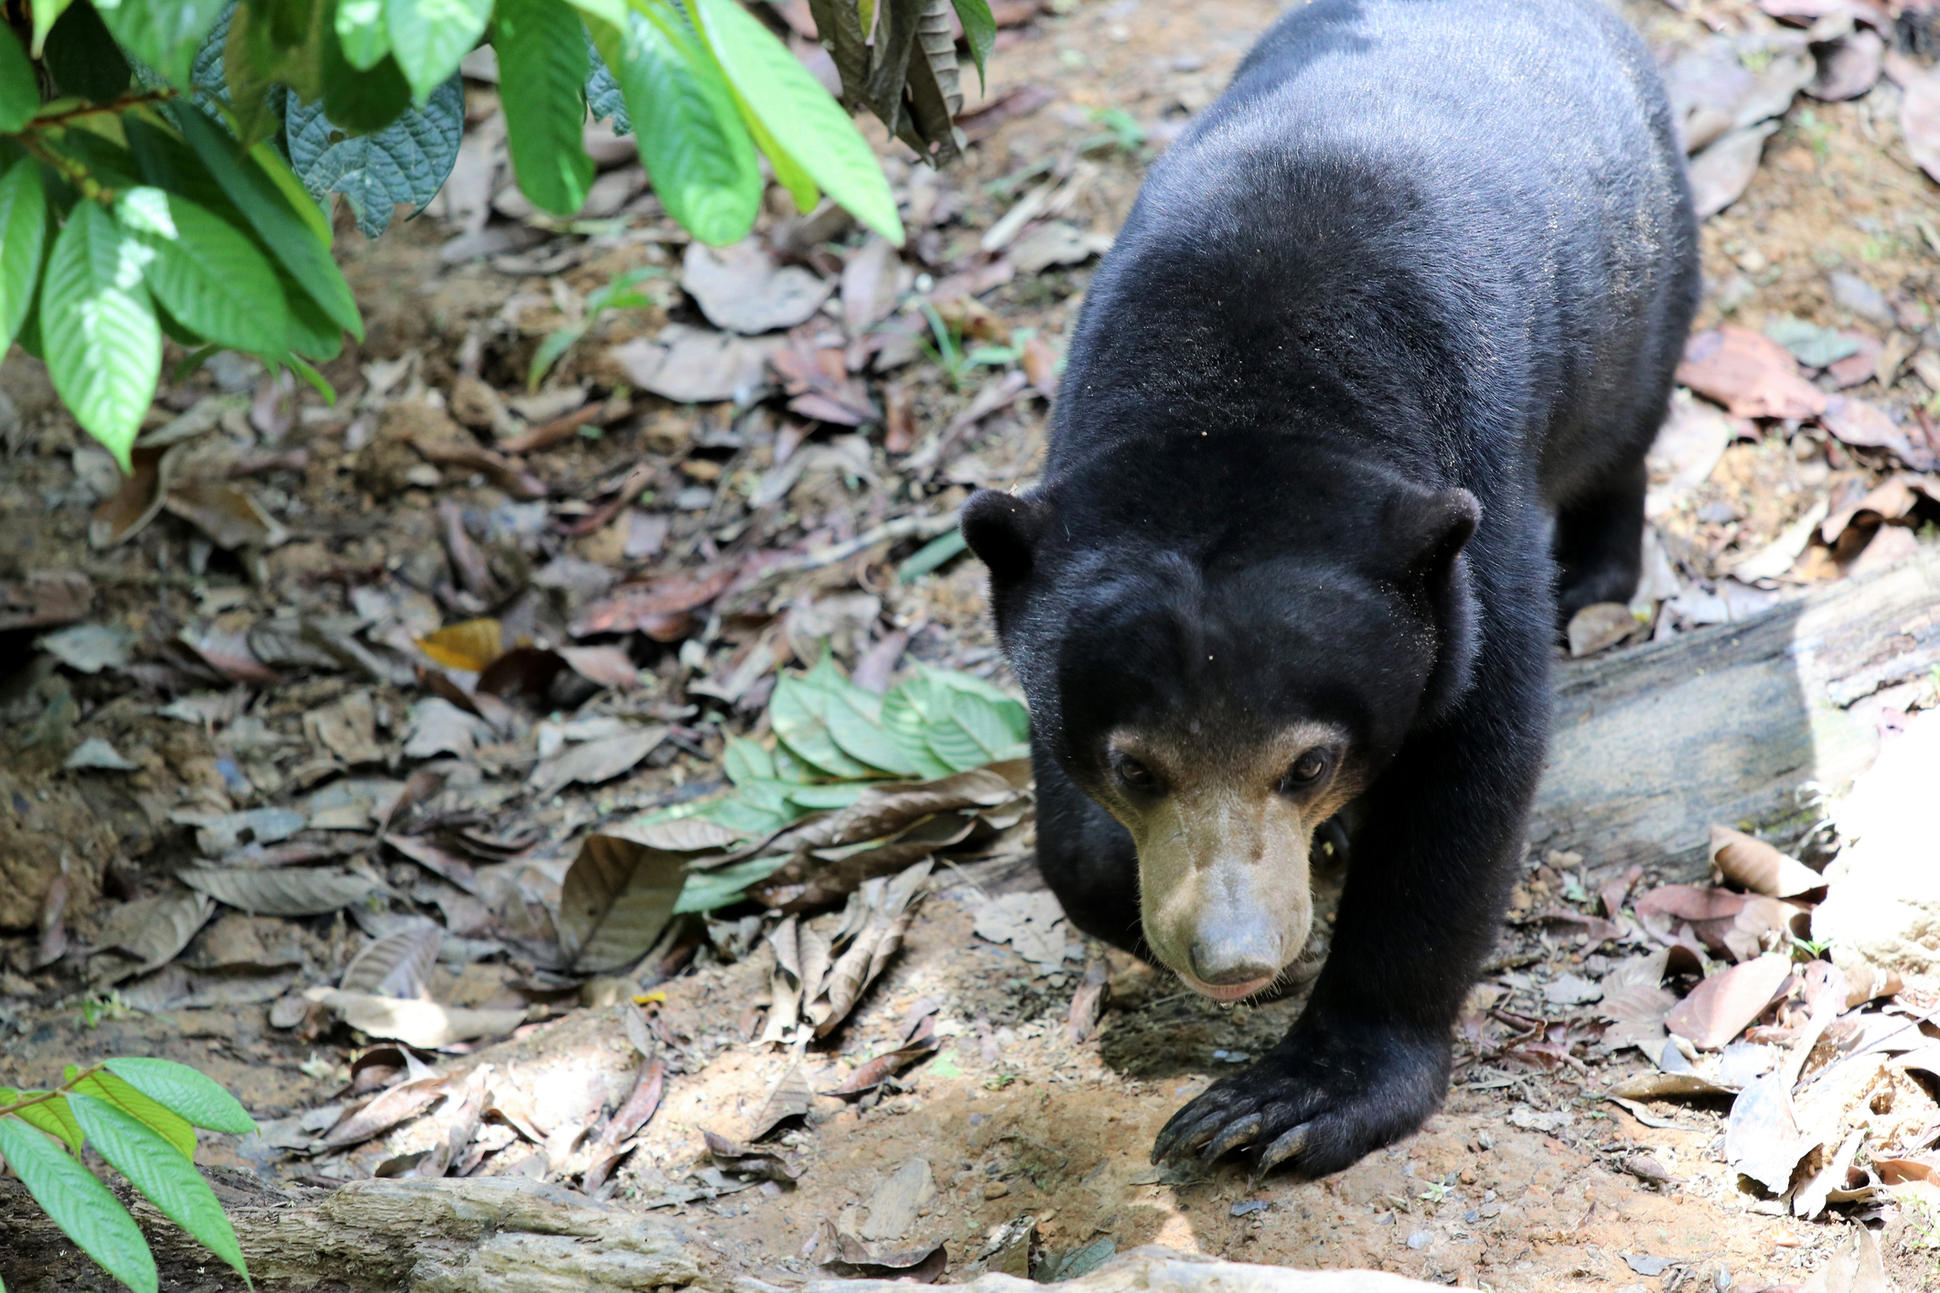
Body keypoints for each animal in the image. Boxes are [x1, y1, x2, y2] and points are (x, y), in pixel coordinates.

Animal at [962, 0, 1691, 1172]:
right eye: (1134, 765)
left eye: (1308, 762)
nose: (1232, 959)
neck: (1237, 393)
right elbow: (1069, 830)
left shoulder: (1467, 538)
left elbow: (1468, 783)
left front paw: (1284, 1101)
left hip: (1641, 282)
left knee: (1621, 432)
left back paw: (1595, 576)